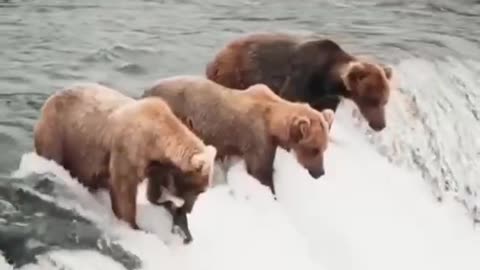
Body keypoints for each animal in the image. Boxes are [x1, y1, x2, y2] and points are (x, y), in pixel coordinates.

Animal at [34, 82, 218, 243]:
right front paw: (135, 225)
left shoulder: (157, 166)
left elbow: (154, 189)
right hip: (60, 135)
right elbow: (124, 190)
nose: (189, 209)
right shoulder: (128, 150)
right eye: (198, 190)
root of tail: (49, 99)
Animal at [140, 75, 334, 197]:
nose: (320, 173)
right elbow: (260, 171)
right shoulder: (257, 138)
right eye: (314, 149)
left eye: (324, 148)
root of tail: (145, 93)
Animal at [205, 31, 394, 131]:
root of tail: (216, 58)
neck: (326, 79)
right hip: (236, 74)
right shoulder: (302, 77)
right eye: (372, 100)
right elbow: (290, 98)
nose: (380, 125)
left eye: (385, 101)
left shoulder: (327, 97)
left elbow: (326, 112)